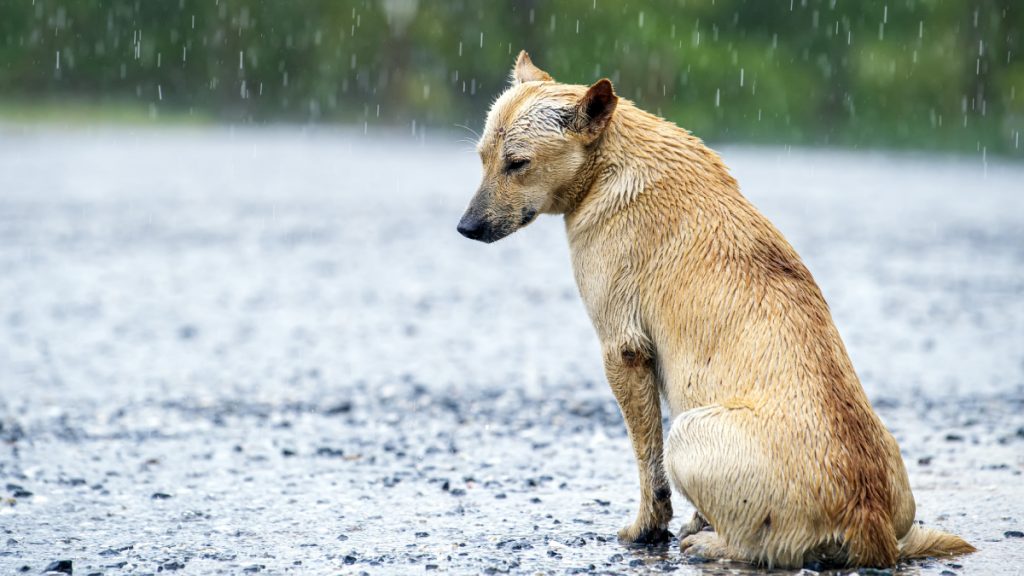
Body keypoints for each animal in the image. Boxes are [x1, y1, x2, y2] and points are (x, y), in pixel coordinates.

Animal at [458, 50, 974, 565]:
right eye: (482, 158)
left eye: (517, 164)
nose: (465, 228)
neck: (610, 162)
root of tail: (868, 520)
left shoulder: (623, 350)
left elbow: (647, 462)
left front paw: (646, 528)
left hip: (688, 433)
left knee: (754, 545)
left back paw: (707, 542)